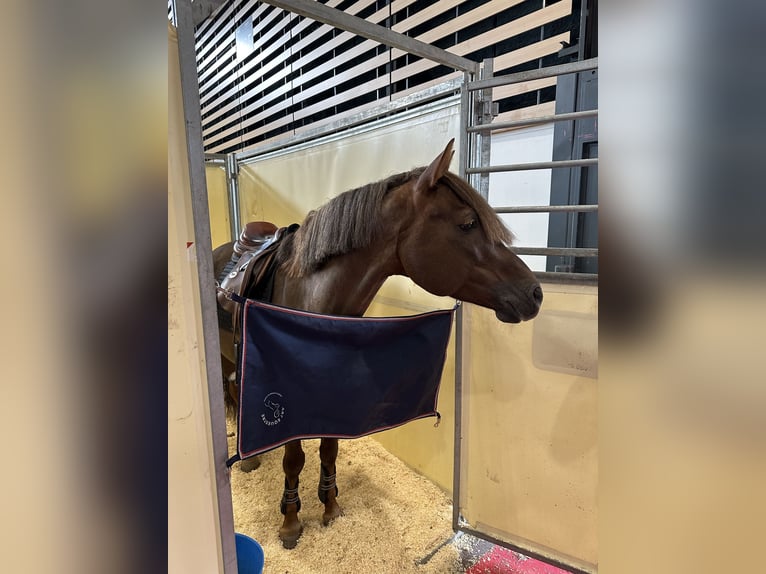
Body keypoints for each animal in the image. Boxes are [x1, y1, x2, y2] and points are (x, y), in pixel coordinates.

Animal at [213, 140, 544, 548]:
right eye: (468, 223)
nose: (534, 293)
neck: (314, 299)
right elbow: (295, 458)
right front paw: (291, 521)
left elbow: (329, 448)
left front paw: (330, 505)